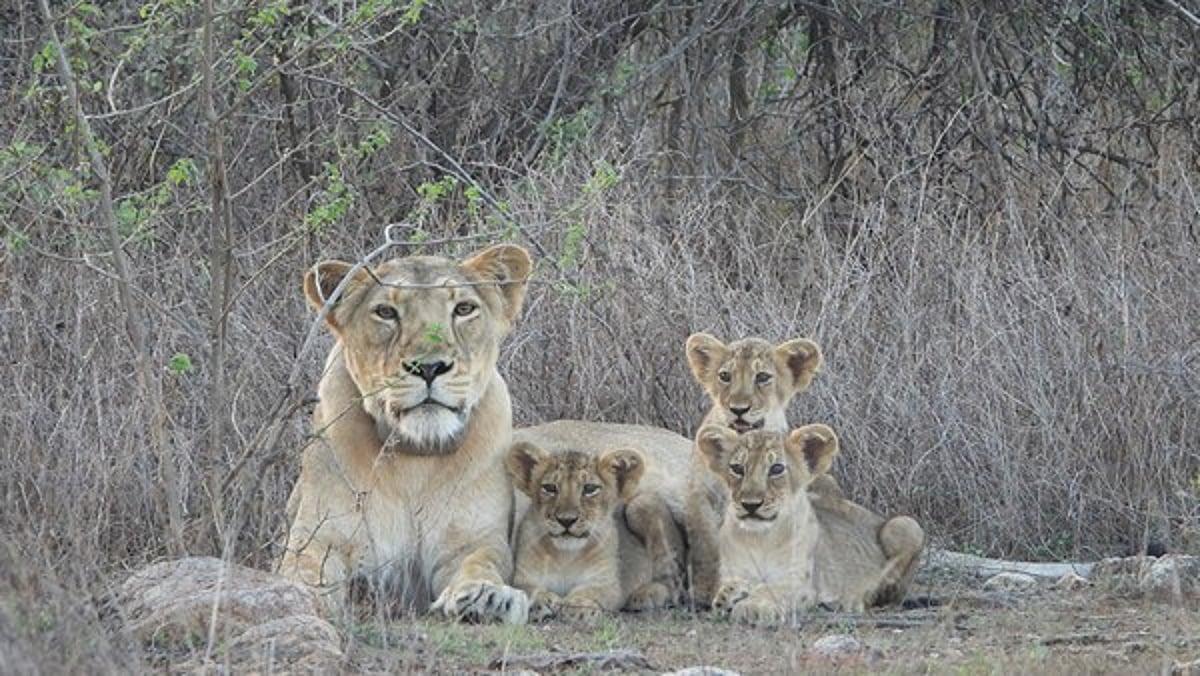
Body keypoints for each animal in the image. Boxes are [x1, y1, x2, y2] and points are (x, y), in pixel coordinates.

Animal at [278, 244, 533, 624]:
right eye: (386, 312)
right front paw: (295, 596)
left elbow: (481, 562)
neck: (416, 458)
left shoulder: (473, 539)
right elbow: (302, 570)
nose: (428, 367)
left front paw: (487, 597)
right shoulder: (320, 537)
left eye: (464, 309)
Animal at [505, 442, 659, 621]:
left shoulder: (607, 583)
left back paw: (646, 595)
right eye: (550, 488)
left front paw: (577, 607)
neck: (565, 556)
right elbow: (526, 589)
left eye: (590, 489)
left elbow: (593, 592)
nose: (566, 520)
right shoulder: (522, 577)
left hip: (642, 505)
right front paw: (541, 601)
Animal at [683, 333, 830, 606]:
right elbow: (707, 544)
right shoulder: (700, 495)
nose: (738, 409)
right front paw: (708, 590)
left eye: (762, 377)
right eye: (725, 376)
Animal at [697, 424, 924, 627]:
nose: (750, 504)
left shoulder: (801, 583)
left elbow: (771, 589)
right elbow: (731, 584)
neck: (759, 538)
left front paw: (752, 607)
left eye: (776, 468)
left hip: (906, 524)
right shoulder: (731, 571)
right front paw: (729, 595)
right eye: (737, 468)